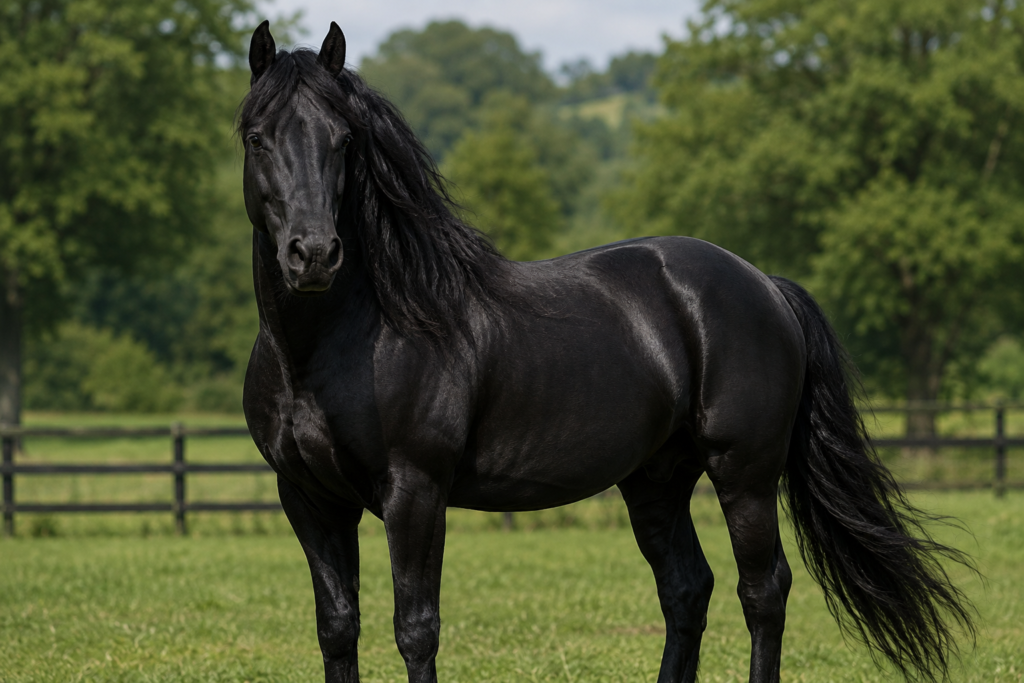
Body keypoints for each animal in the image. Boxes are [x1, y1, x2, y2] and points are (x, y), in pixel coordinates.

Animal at [238, 20, 973, 683]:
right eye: (256, 137)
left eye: (344, 140)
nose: (313, 255)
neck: (337, 344)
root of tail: (765, 284)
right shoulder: (307, 497)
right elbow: (338, 627)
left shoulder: (415, 491)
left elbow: (416, 630)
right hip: (656, 479)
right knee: (688, 589)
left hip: (744, 474)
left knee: (762, 591)